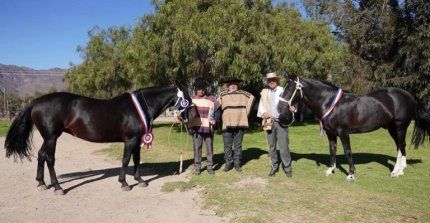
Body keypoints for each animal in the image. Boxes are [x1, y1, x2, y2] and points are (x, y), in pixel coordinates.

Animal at [4, 86, 190, 194]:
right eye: (186, 99)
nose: (188, 118)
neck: (139, 107)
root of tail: (36, 102)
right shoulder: (130, 140)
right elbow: (126, 160)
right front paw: (124, 183)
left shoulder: (138, 140)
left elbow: (136, 159)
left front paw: (140, 180)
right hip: (52, 138)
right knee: (49, 158)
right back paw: (57, 187)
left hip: (48, 138)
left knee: (41, 155)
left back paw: (41, 183)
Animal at [278, 73, 428, 181]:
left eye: (290, 88)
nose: (280, 107)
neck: (330, 103)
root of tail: (409, 95)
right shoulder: (331, 133)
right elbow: (332, 150)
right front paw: (330, 170)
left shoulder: (343, 132)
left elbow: (347, 151)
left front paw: (351, 174)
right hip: (392, 128)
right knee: (399, 146)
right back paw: (399, 170)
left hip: (400, 127)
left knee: (401, 146)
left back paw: (397, 172)